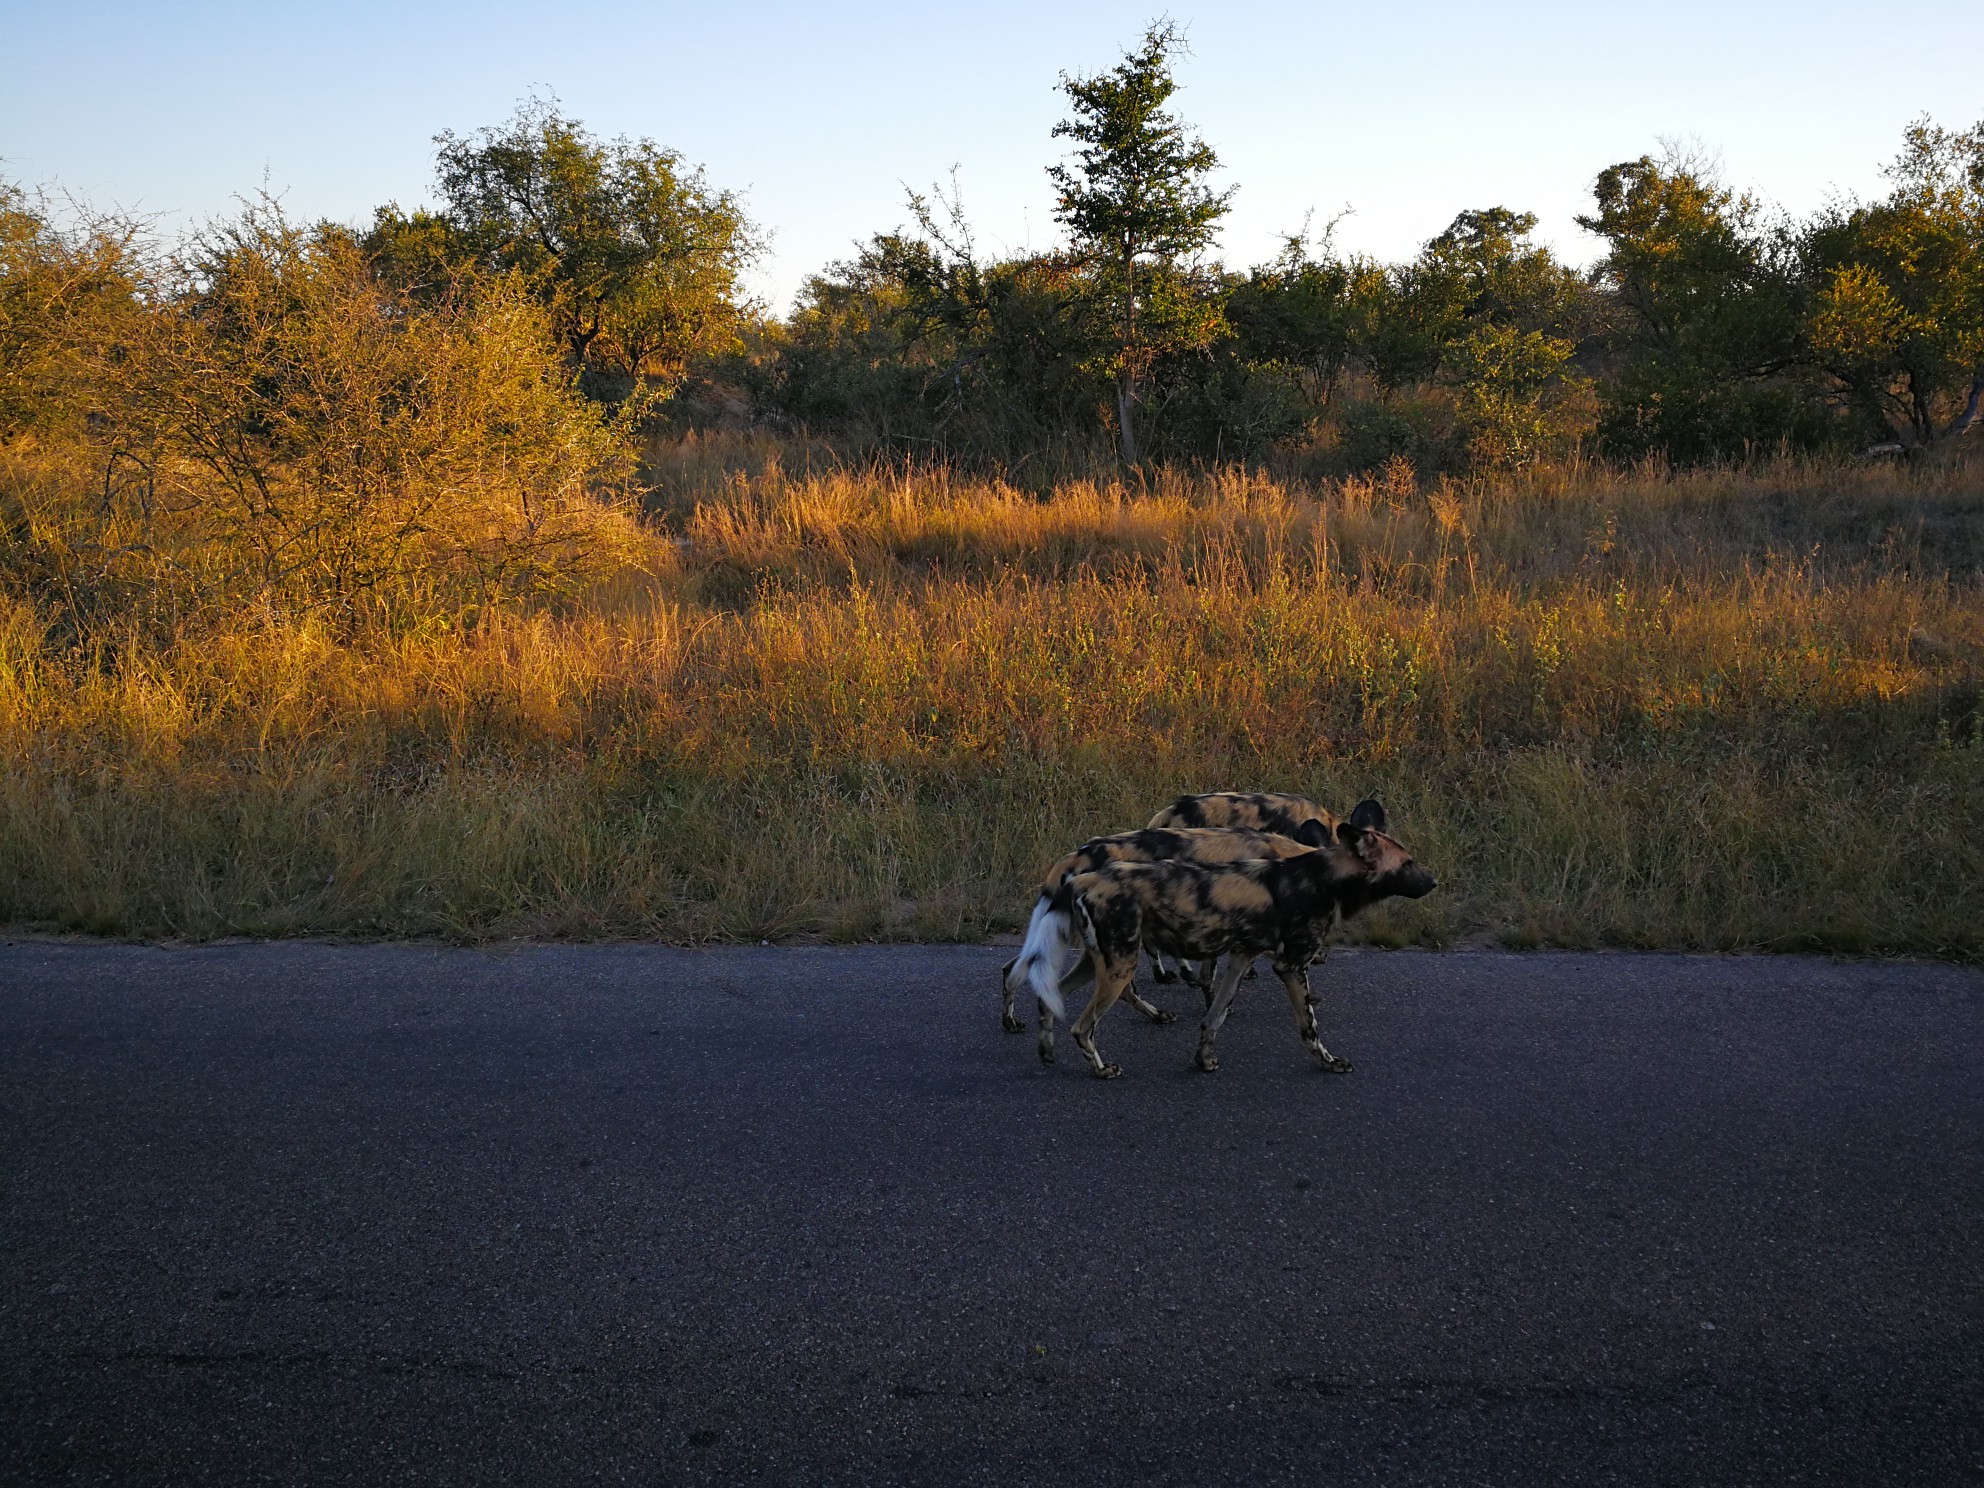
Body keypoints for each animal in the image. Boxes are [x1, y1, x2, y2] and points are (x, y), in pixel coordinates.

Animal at [992, 821, 1333, 1031]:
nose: (1323, 955)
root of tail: (1076, 856)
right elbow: (1211, 978)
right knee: (1122, 989)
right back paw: (1155, 1014)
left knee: (1012, 967)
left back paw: (1010, 1022)